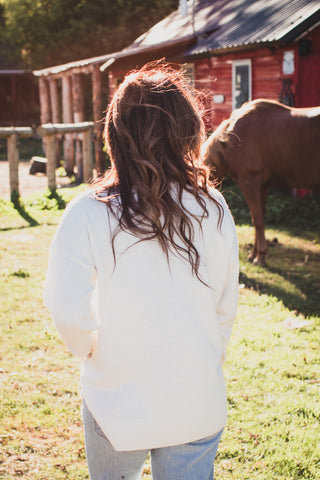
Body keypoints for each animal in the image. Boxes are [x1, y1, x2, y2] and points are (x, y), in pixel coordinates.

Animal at [202, 99, 320, 264]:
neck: (232, 138)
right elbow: (259, 219)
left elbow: (257, 219)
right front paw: (255, 253)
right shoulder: (262, 187)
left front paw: (260, 256)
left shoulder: (250, 183)